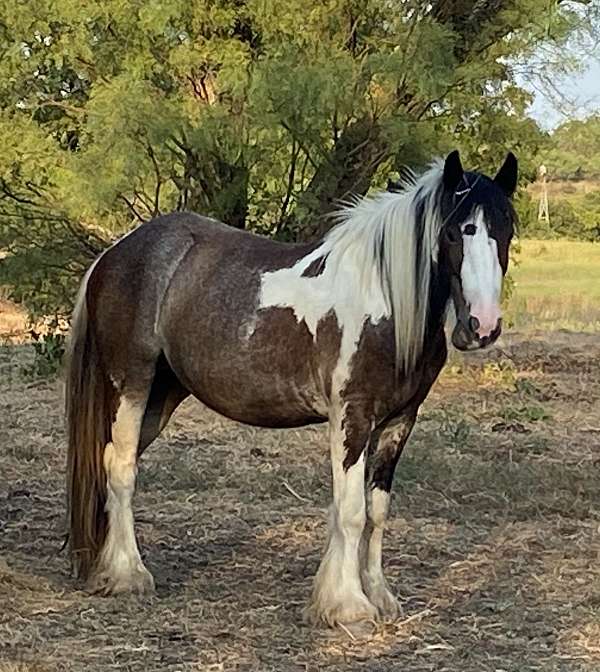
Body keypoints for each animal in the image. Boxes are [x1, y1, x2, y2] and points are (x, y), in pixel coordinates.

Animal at [64, 150, 516, 628]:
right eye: (453, 231)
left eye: (506, 228)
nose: (482, 326)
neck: (386, 302)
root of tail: (113, 253)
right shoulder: (352, 416)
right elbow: (351, 511)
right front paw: (349, 605)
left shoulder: (399, 421)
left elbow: (376, 511)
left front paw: (379, 595)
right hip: (132, 384)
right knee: (121, 469)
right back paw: (129, 574)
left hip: (162, 394)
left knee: (112, 459)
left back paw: (104, 565)